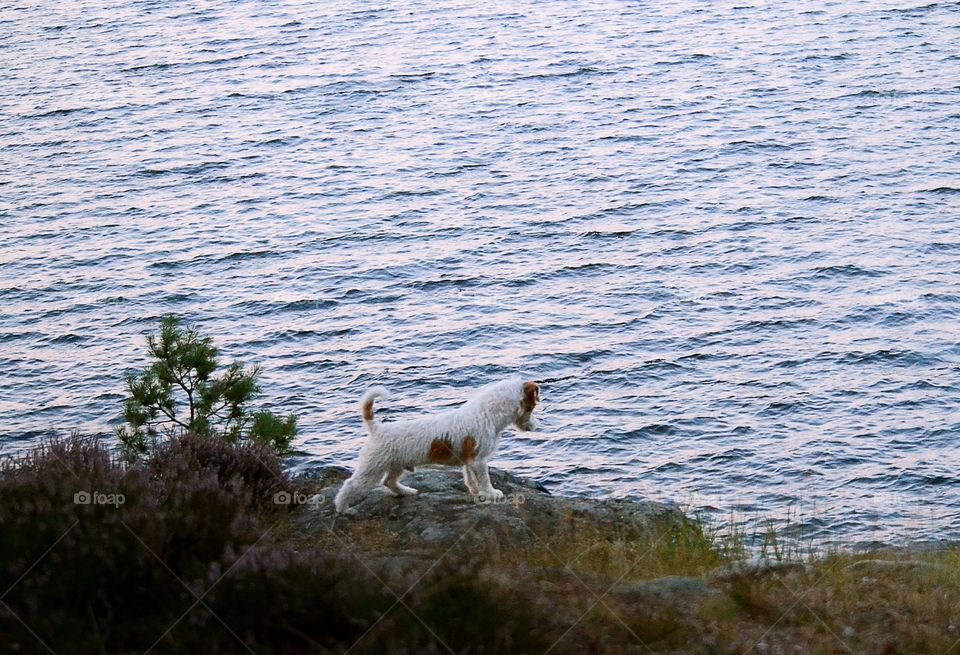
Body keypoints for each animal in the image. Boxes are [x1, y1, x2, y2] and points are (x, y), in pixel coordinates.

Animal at [334, 380, 536, 512]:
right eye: (533, 405)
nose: (535, 426)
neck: (487, 413)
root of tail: (377, 428)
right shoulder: (478, 461)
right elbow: (484, 479)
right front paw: (491, 493)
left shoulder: (470, 462)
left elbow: (471, 480)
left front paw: (478, 494)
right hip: (372, 468)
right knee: (350, 485)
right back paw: (342, 508)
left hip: (398, 465)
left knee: (389, 482)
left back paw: (406, 492)